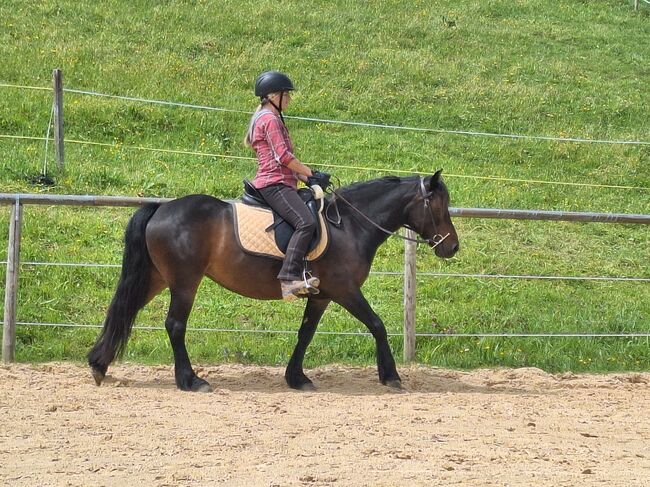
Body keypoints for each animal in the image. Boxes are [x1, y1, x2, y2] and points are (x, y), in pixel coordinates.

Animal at [88, 172, 458, 392]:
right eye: (439, 205)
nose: (452, 247)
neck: (351, 225)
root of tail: (161, 209)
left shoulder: (321, 294)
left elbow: (306, 333)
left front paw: (297, 378)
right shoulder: (345, 289)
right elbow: (377, 324)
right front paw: (391, 375)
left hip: (157, 278)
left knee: (124, 310)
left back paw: (98, 364)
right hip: (184, 282)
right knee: (175, 325)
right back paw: (190, 380)